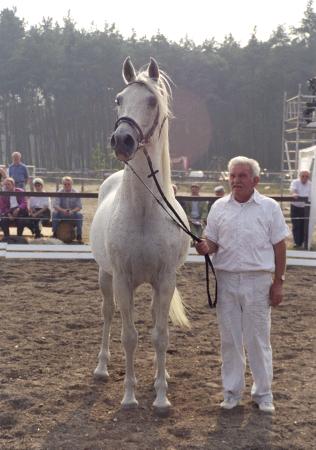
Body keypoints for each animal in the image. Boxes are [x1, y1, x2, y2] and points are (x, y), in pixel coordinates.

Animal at [91, 58, 190, 414]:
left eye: (151, 101)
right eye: (118, 99)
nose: (122, 140)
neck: (145, 212)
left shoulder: (165, 280)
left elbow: (160, 335)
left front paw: (161, 396)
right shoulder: (122, 279)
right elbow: (129, 336)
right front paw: (129, 397)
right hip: (106, 277)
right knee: (108, 316)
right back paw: (102, 368)